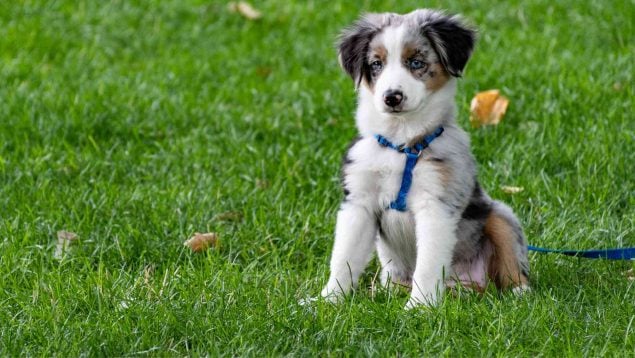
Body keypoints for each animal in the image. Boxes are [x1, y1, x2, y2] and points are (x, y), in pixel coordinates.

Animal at [320, 9, 528, 310]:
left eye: (416, 62)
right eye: (376, 64)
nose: (392, 97)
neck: (401, 144)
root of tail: (465, 286)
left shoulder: (436, 205)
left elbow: (428, 264)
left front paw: (419, 308)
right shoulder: (359, 203)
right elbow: (343, 258)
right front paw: (326, 302)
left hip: (499, 215)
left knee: (512, 259)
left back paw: (518, 294)